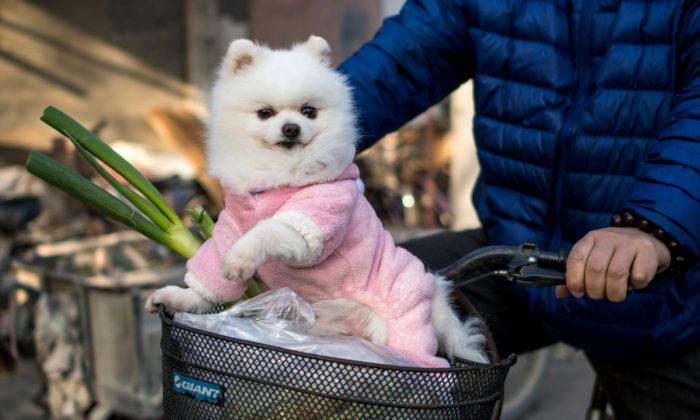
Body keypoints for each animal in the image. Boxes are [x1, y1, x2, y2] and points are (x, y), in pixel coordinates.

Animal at [145, 36, 486, 366]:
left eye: (309, 111)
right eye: (265, 113)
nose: (291, 127)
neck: (278, 175)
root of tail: (436, 298)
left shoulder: (313, 221)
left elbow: (266, 230)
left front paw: (241, 258)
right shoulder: (229, 228)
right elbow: (211, 278)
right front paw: (182, 298)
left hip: (404, 321)